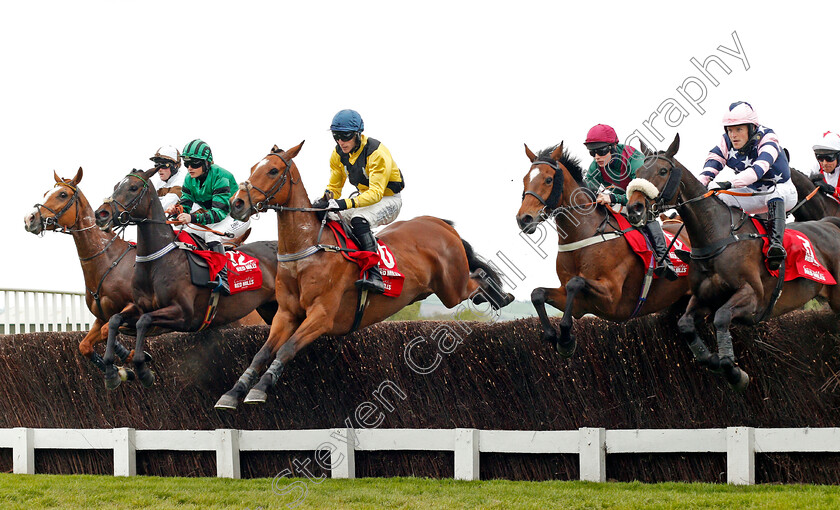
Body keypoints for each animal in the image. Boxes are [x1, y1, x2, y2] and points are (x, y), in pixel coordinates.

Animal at [22, 169, 138, 376]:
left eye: (62, 194)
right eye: (45, 193)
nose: (30, 218)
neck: (108, 260)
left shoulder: (135, 309)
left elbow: (108, 331)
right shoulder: (101, 317)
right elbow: (85, 345)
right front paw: (118, 372)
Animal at [92, 169, 278, 388]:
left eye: (133, 188)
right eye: (116, 186)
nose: (101, 214)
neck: (157, 261)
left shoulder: (183, 314)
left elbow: (143, 322)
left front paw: (143, 371)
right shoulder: (139, 307)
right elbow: (114, 320)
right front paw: (111, 372)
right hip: (269, 308)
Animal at [213, 140, 512, 410]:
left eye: (273, 170)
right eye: (253, 167)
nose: (237, 203)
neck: (307, 249)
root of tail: (438, 223)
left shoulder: (322, 316)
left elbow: (287, 348)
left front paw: (260, 389)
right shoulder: (285, 314)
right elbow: (261, 353)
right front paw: (233, 392)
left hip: (452, 289)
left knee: (478, 279)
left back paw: (502, 296)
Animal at [512, 139, 688, 354]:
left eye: (548, 179)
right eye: (524, 180)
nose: (524, 219)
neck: (584, 235)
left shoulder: (612, 298)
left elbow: (575, 282)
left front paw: (566, 339)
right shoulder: (579, 304)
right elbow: (537, 293)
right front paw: (554, 336)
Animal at [624, 133, 840, 388]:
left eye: (663, 171)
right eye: (638, 172)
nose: (634, 208)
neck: (718, 236)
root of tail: (831, 223)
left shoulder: (752, 296)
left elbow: (721, 318)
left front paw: (733, 370)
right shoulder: (703, 296)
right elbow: (685, 325)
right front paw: (712, 359)